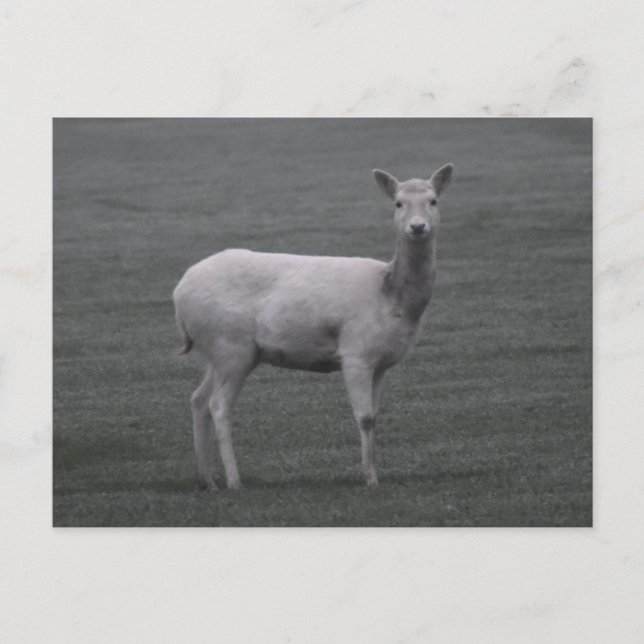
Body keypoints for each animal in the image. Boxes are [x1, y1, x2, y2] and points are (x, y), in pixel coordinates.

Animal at [173, 164, 454, 491]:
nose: (417, 227)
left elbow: (376, 415)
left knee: (198, 399)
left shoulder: (382, 361)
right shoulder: (356, 351)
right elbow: (365, 416)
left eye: (433, 201)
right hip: (231, 345)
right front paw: (370, 478)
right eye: (398, 203)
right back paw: (234, 481)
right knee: (218, 405)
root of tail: (179, 294)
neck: (392, 297)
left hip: (219, 351)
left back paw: (207, 481)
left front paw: (372, 472)